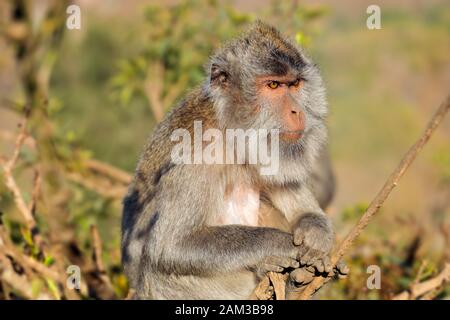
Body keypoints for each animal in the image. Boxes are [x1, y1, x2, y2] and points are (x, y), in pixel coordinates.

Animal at [121, 20, 346, 300]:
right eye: (273, 86)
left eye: (294, 84)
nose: (297, 111)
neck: (232, 134)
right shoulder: (196, 152)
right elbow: (171, 246)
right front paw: (283, 244)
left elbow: (307, 211)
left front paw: (315, 236)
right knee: (160, 269)